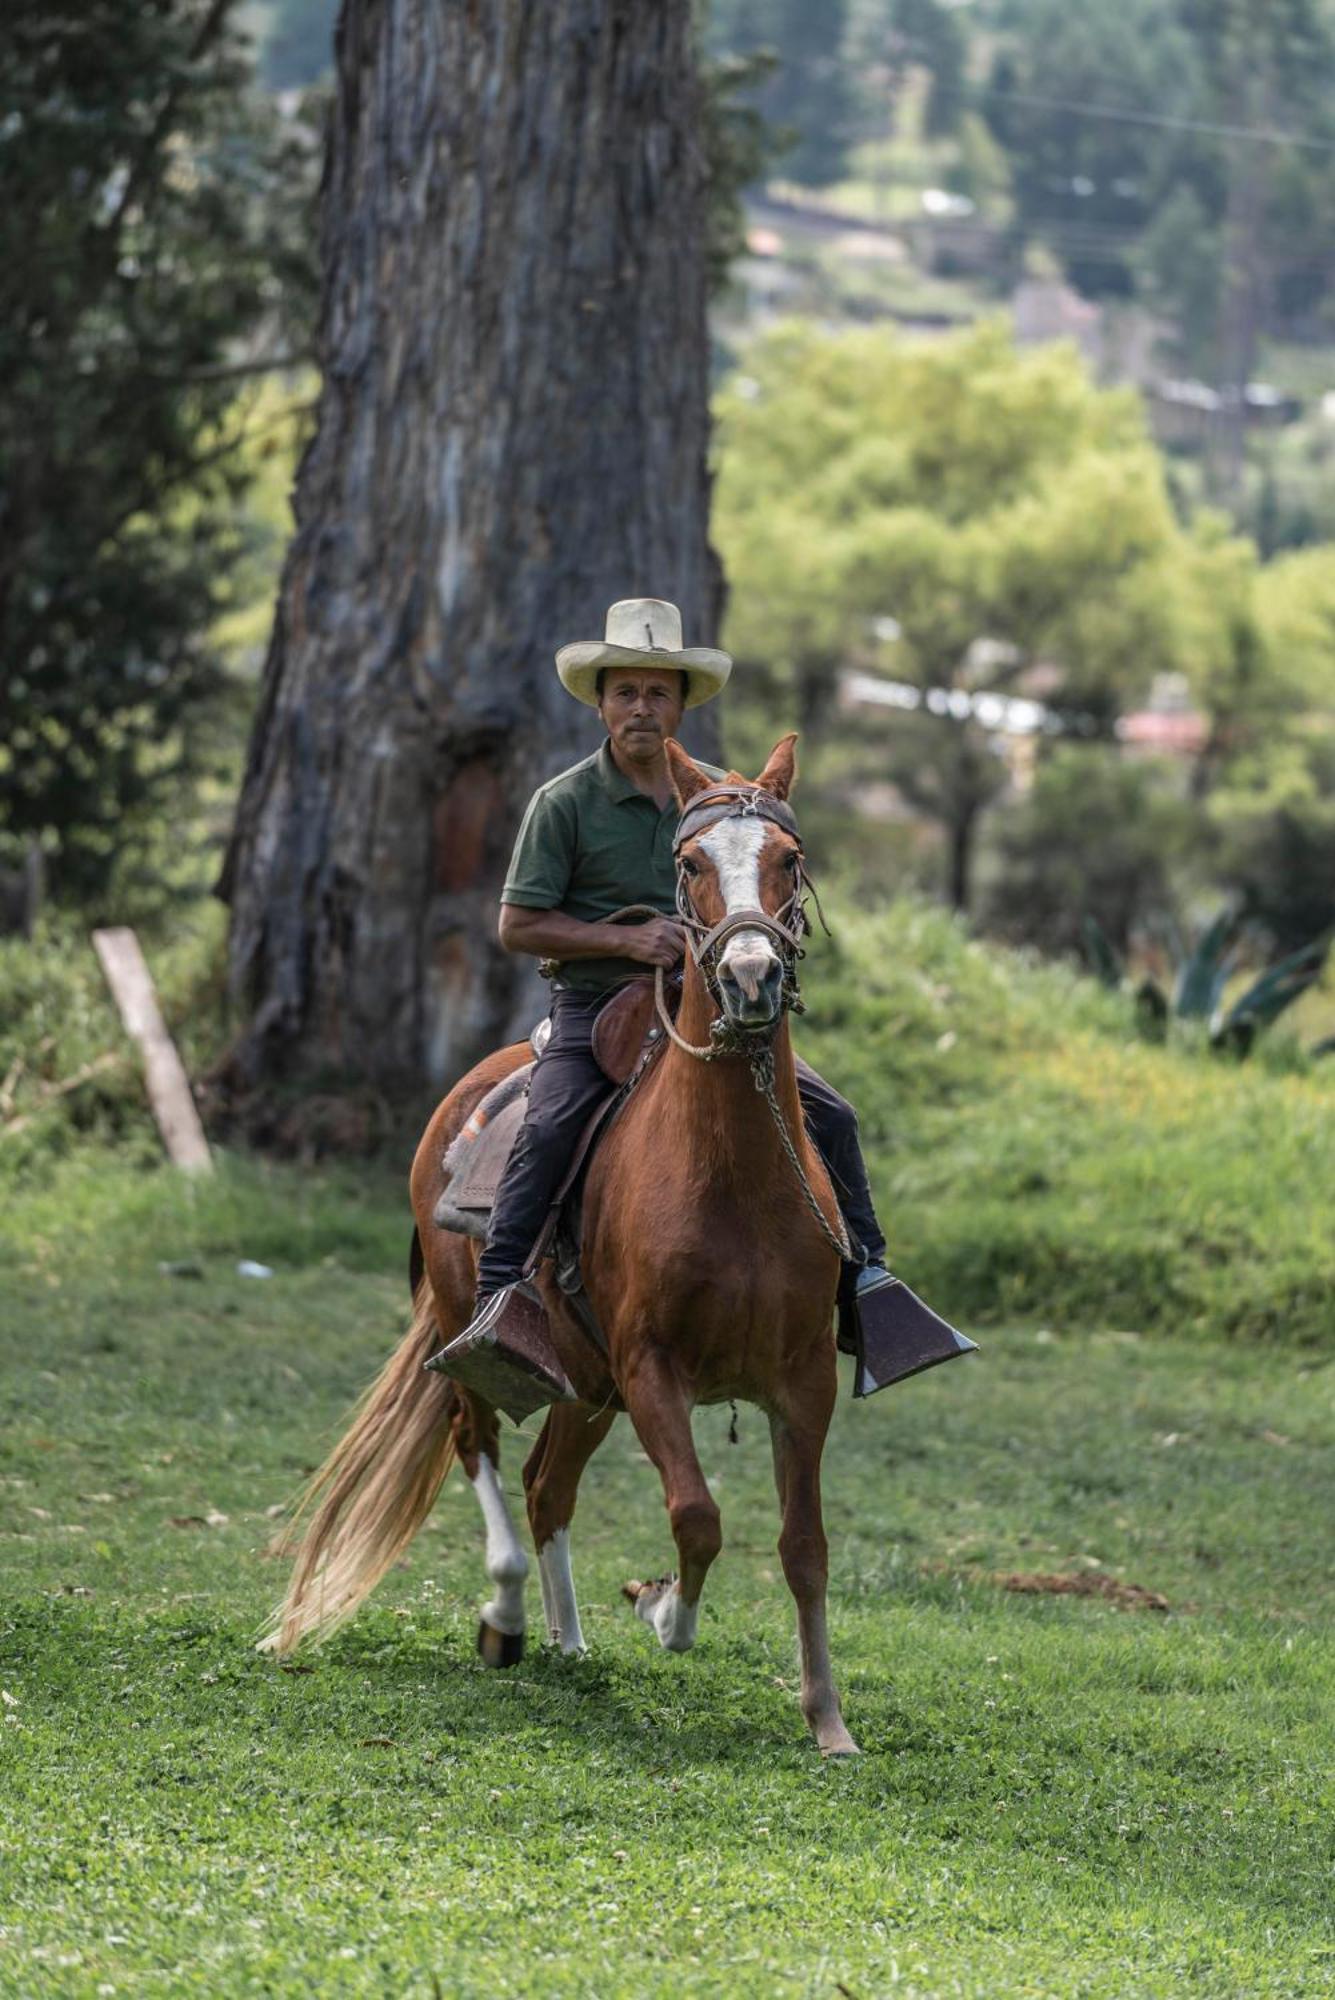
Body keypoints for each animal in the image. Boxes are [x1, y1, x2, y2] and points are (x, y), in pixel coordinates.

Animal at [265, 736, 859, 1752]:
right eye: (689, 864)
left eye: (790, 857)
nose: (750, 978)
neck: (732, 1177)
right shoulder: (653, 1367)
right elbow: (696, 1518)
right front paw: (660, 1611)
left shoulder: (803, 1380)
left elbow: (803, 1548)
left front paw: (826, 1722)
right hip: (478, 1337)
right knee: (479, 1446)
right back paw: (506, 1619)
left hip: (587, 1386)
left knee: (549, 1486)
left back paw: (566, 1640)